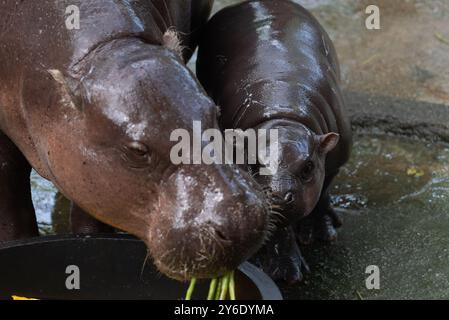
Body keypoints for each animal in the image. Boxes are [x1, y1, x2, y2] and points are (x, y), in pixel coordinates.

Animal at [198, 0, 352, 282]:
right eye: (253, 164)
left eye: (308, 167)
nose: (279, 195)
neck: (283, 116)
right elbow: (278, 226)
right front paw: (286, 273)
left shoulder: (335, 160)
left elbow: (322, 192)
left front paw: (321, 234)